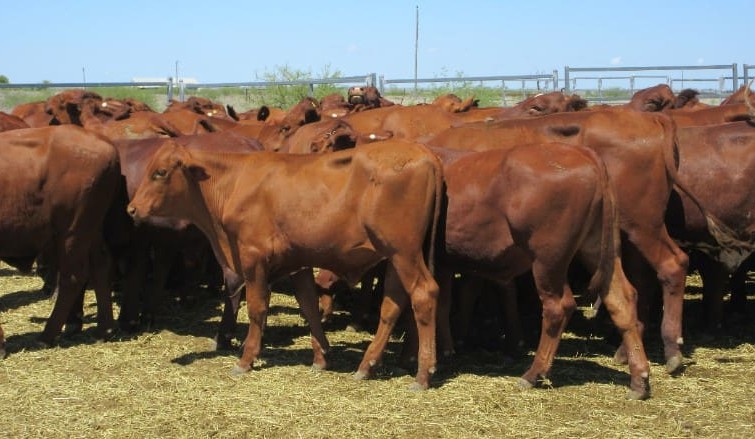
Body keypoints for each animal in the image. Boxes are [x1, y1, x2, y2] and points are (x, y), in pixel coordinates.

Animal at [0, 125, 121, 346]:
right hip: (91, 230)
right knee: (100, 265)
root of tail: (108, 145)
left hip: (73, 232)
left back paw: (47, 335)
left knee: (72, 277)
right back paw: (104, 329)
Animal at [126, 139, 444, 390]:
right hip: (395, 258)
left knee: (423, 294)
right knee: (392, 305)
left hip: (404, 253)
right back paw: (367, 365)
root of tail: (423, 151)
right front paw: (321, 357)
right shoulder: (299, 262)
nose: (131, 209)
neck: (234, 183)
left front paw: (246, 359)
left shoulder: (253, 258)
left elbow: (257, 309)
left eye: (160, 172)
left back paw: (423, 374)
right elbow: (309, 306)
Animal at [424, 143, 650, 399]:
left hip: (547, 260)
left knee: (558, 307)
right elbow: (443, 306)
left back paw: (533, 374)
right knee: (621, 300)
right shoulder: (444, 263)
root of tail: (583, 153)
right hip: (600, 250)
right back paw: (640, 379)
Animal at [426, 108, 735, 373]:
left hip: (643, 225)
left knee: (672, 265)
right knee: (639, 284)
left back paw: (671, 348)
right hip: (626, 237)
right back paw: (627, 352)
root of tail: (651, 118)